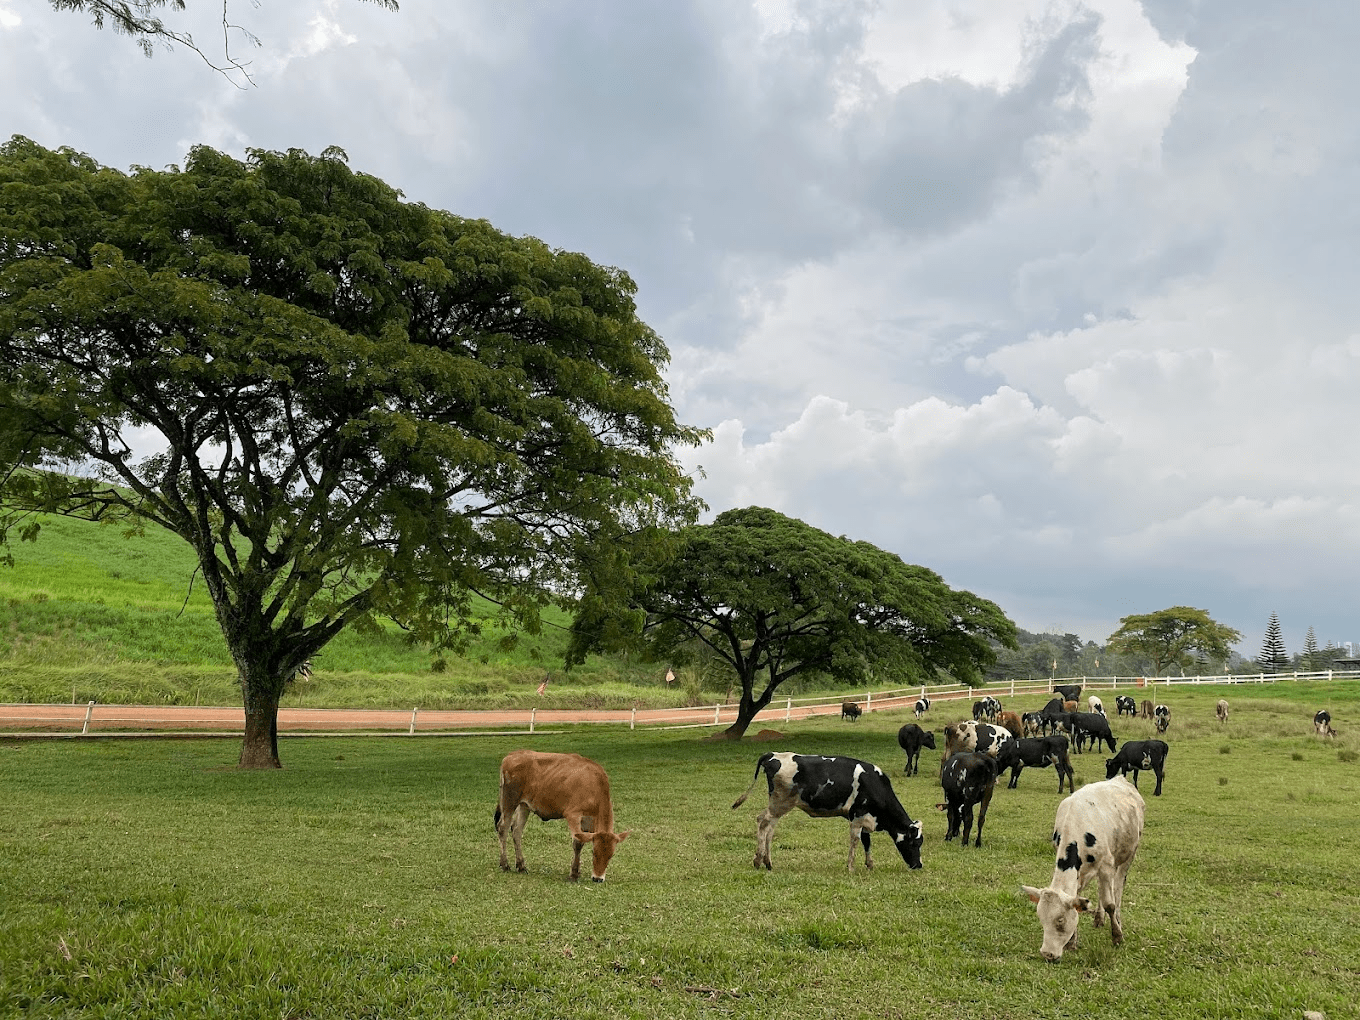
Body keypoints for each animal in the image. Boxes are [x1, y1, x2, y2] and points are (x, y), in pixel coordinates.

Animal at [495, 750, 631, 886]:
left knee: (516, 830)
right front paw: (573, 874)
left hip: (524, 805)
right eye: (594, 853)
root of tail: (512, 754)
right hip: (509, 801)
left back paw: (521, 866)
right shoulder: (573, 815)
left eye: (611, 855)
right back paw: (505, 864)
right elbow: (577, 842)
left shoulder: (589, 823)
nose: (598, 879)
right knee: (503, 828)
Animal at [1022, 777, 1147, 962]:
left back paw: (1117, 918)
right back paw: (1099, 918)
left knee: (1117, 887)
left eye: (1060, 920)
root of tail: (1120, 779)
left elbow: (1109, 903)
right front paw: (1072, 942)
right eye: (1041, 919)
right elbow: (1077, 900)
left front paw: (1117, 936)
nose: (1047, 954)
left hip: (1128, 854)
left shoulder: (1106, 865)